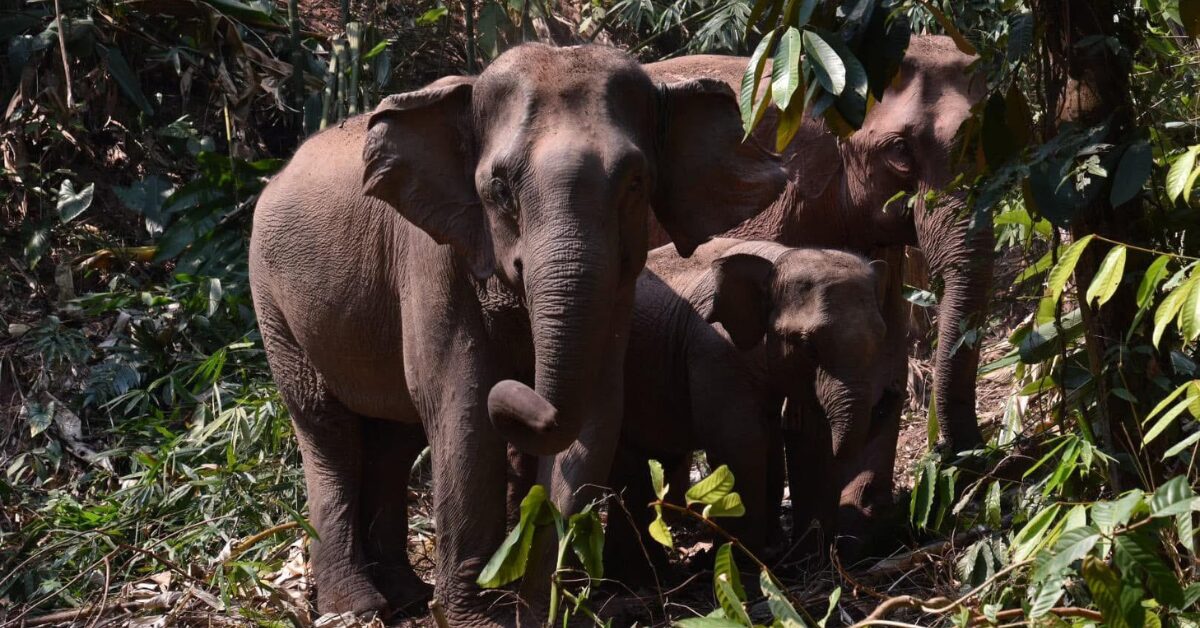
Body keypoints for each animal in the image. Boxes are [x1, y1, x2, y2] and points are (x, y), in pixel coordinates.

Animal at [248, 43, 788, 624]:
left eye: (636, 183)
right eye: (500, 188)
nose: (519, 387)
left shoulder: (618, 285)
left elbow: (597, 410)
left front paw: (542, 607)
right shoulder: (431, 256)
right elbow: (461, 404)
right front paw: (474, 618)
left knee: (394, 438)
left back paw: (406, 595)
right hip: (274, 305)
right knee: (329, 430)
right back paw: (359, 608)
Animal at [602, 239, 888, 581]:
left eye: (881, 338)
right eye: (808, 346)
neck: (779, 258)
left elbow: (805, 440)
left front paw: (795, 560)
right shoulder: (715, 351)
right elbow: (740, 444)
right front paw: (746, 572)